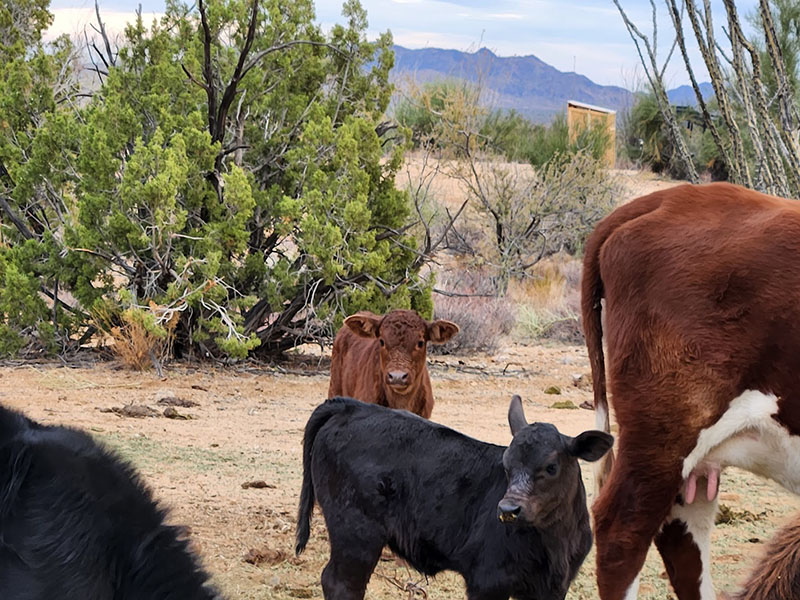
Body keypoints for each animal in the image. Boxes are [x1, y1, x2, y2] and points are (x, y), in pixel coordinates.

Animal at [296, 396, 612, 596]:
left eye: (551, 467)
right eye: (507, 465)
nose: (509, 509)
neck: (555, 540)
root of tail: (351, 407)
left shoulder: (552, 589)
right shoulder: (488, 581)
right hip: (356, 534)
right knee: (340, 583)